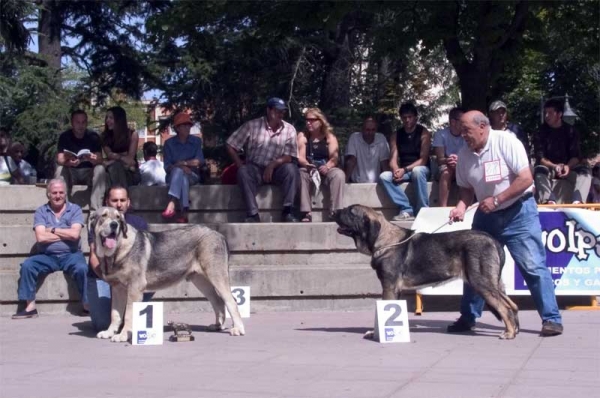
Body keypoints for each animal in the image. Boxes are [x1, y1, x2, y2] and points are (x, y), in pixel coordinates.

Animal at [89, 207, 244, 340]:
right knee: (217, 301)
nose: (114, 225)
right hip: (201, 281)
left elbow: (128, 314)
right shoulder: (117, 289)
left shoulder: (134, 288)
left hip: (216, 275)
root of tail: (219, 234)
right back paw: (217, 326)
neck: (117, 251)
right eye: (103, 216)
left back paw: (238, 328)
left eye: (118, 218)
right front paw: (109, 332)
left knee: (231, 300)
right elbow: (115, 314)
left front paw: (123, 335)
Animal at [332, 205, 520, 338]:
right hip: (493, 283)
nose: (333, 211)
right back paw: (514, 330)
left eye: (350, 212)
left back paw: (509, 333)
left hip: (481, 282)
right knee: (512, 305)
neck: (384, 240)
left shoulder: (388, 286)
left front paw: (375, 332)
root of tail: (493, 240)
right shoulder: (395, 289)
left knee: (504, 307)